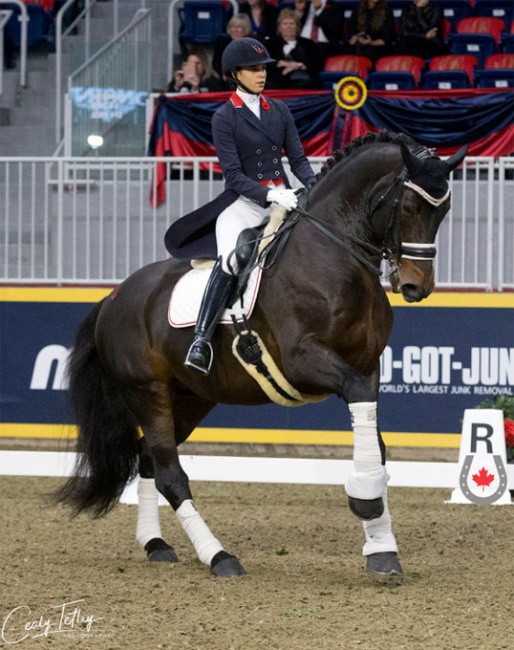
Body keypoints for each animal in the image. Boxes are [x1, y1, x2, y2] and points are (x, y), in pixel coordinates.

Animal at [55, 132, 464, 576]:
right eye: (407, 207)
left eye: (444, 210)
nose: (416, 285)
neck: (333, 257)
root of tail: (113, 297)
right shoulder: (307, 362)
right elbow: (359, 408)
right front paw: (366, 502)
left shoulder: (368, 368)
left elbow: (377, 440)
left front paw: (382, 547)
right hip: (146, 392)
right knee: (169, 474)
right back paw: (219, 556)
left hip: (191, 397)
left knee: (149, 459)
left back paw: (156, 544)